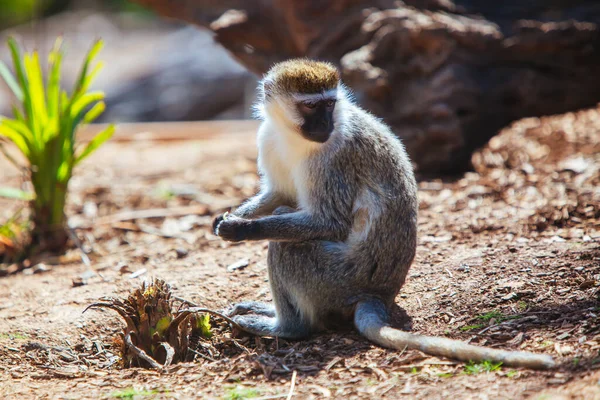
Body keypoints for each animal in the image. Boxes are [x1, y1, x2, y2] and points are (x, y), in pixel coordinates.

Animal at [213, 59, 556, 368]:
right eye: (311, 106)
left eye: (329, 104)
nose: (325, 125)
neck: (292, 135)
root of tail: (378, 294)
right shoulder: (268, 138)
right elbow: (281, 194)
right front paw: (225, 219)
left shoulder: (334, 157)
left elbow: (329, 222)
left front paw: (243, 229)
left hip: (336, 280)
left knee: (288, 247)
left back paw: (287, 328)